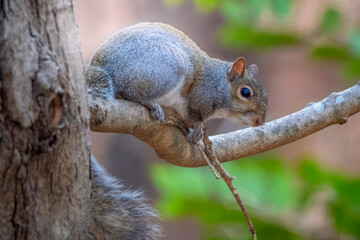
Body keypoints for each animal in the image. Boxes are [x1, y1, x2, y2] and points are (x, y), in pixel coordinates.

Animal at [86, 22, 268, 238]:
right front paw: (197, 129)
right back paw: (151, 104)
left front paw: (191, 130)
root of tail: (101, 66)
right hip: (166, 71)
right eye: (245, 92)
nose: (260, 121)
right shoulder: (200, 97)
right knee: (130, 92)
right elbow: (196, 115)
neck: (218, 83)